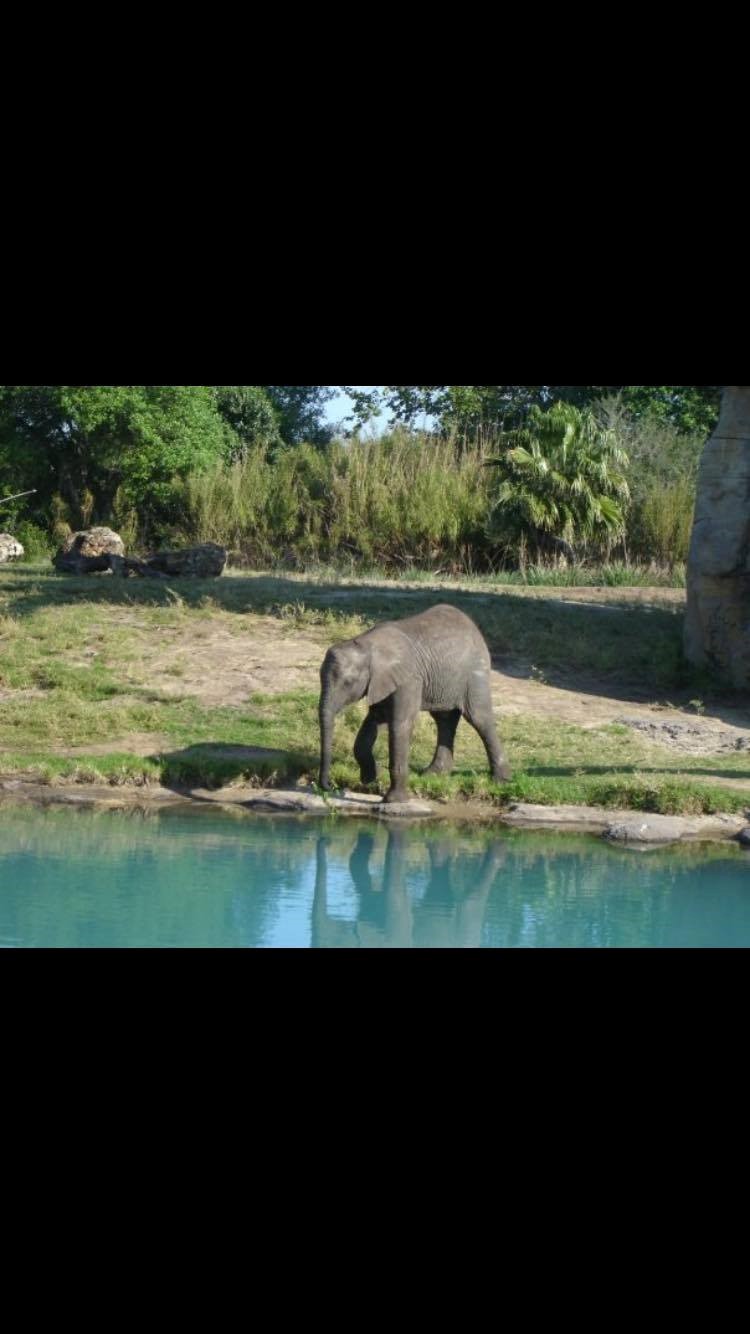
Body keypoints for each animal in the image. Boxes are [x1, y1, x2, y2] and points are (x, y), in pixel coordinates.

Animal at [318, 603, 511, 803]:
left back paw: (501, 781)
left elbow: (399, 724)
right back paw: (433, 775)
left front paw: (393, 800)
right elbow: (374, 720)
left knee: (478, 717)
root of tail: (472, 625)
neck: (367, 646)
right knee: (444, 719)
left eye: (348, 683)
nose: (331, 787)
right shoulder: (381, 682)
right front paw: (369, 780)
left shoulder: (409, 680)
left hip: (475, 671)